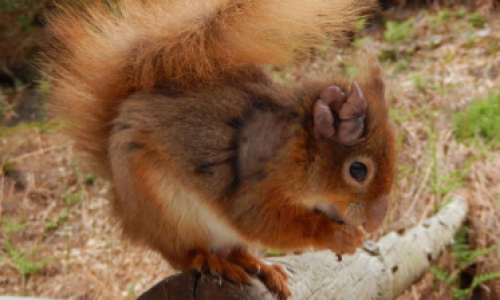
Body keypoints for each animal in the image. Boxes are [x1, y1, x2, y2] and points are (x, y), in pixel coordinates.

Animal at [41, 0, 396, 298]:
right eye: (358, 169)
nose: (376, 222)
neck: (296, 146)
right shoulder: (256, 188)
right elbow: (264, 222)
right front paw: (337, 236)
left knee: (234, 249)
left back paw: (258, 266)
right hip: (167, 210)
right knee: (183, 255)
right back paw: (213, 262)